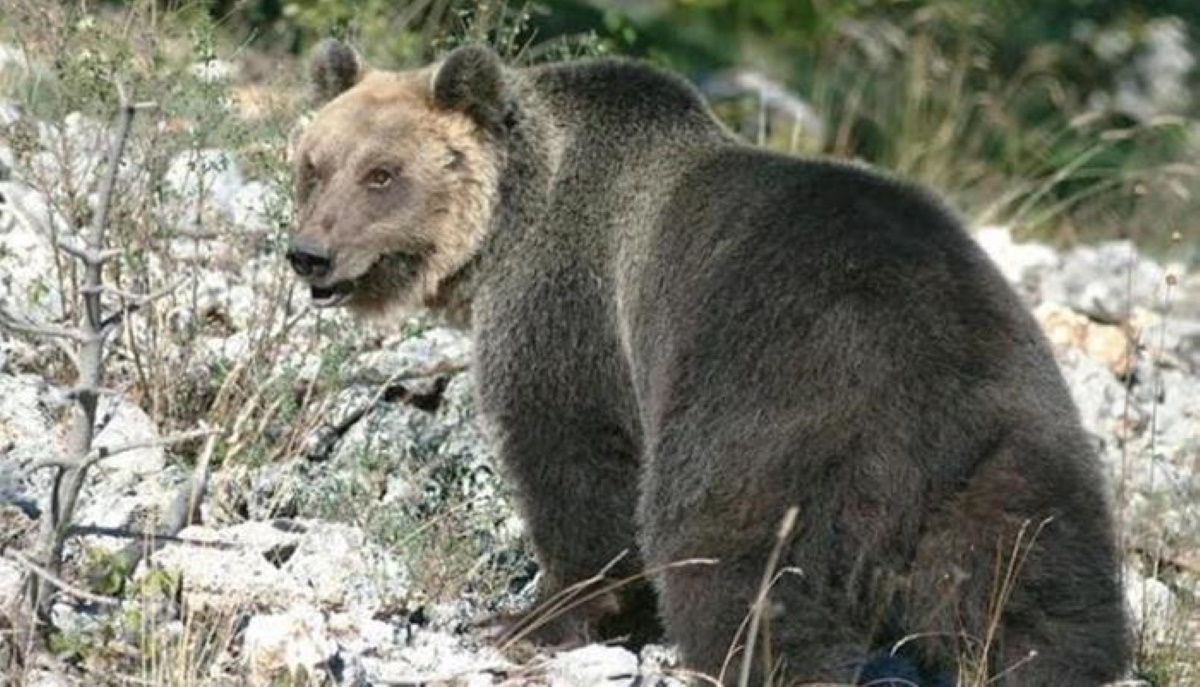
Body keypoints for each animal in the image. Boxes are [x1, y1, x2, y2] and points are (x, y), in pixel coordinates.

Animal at [287, 40, 1130, 686]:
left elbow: (574, 462)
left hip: (770, 411)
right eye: (314, 164)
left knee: (736, 560)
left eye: (383, 173)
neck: (510, 220)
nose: (310, 253)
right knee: (1035, 597)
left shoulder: (571, 307)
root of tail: (925, 386)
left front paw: (528, 614)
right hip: (1014, 450)